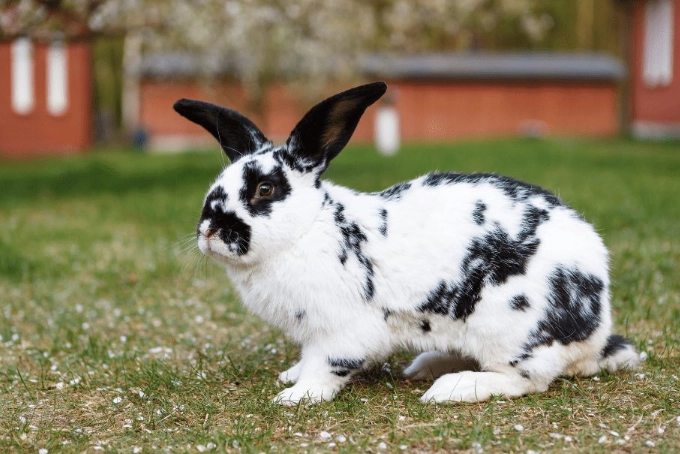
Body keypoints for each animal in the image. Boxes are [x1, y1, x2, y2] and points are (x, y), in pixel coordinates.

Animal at [173, 81, 639, 405]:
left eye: (264, 189)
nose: (208, 230)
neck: (307, 229)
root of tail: (597, 330)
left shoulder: (342, 331)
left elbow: (326, 366)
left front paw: (296, 395)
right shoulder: (312, 333)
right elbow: (307, 357)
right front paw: (291, 376)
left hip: (509, 328)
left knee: (526, 380)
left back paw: (450, 388)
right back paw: (425, 366)